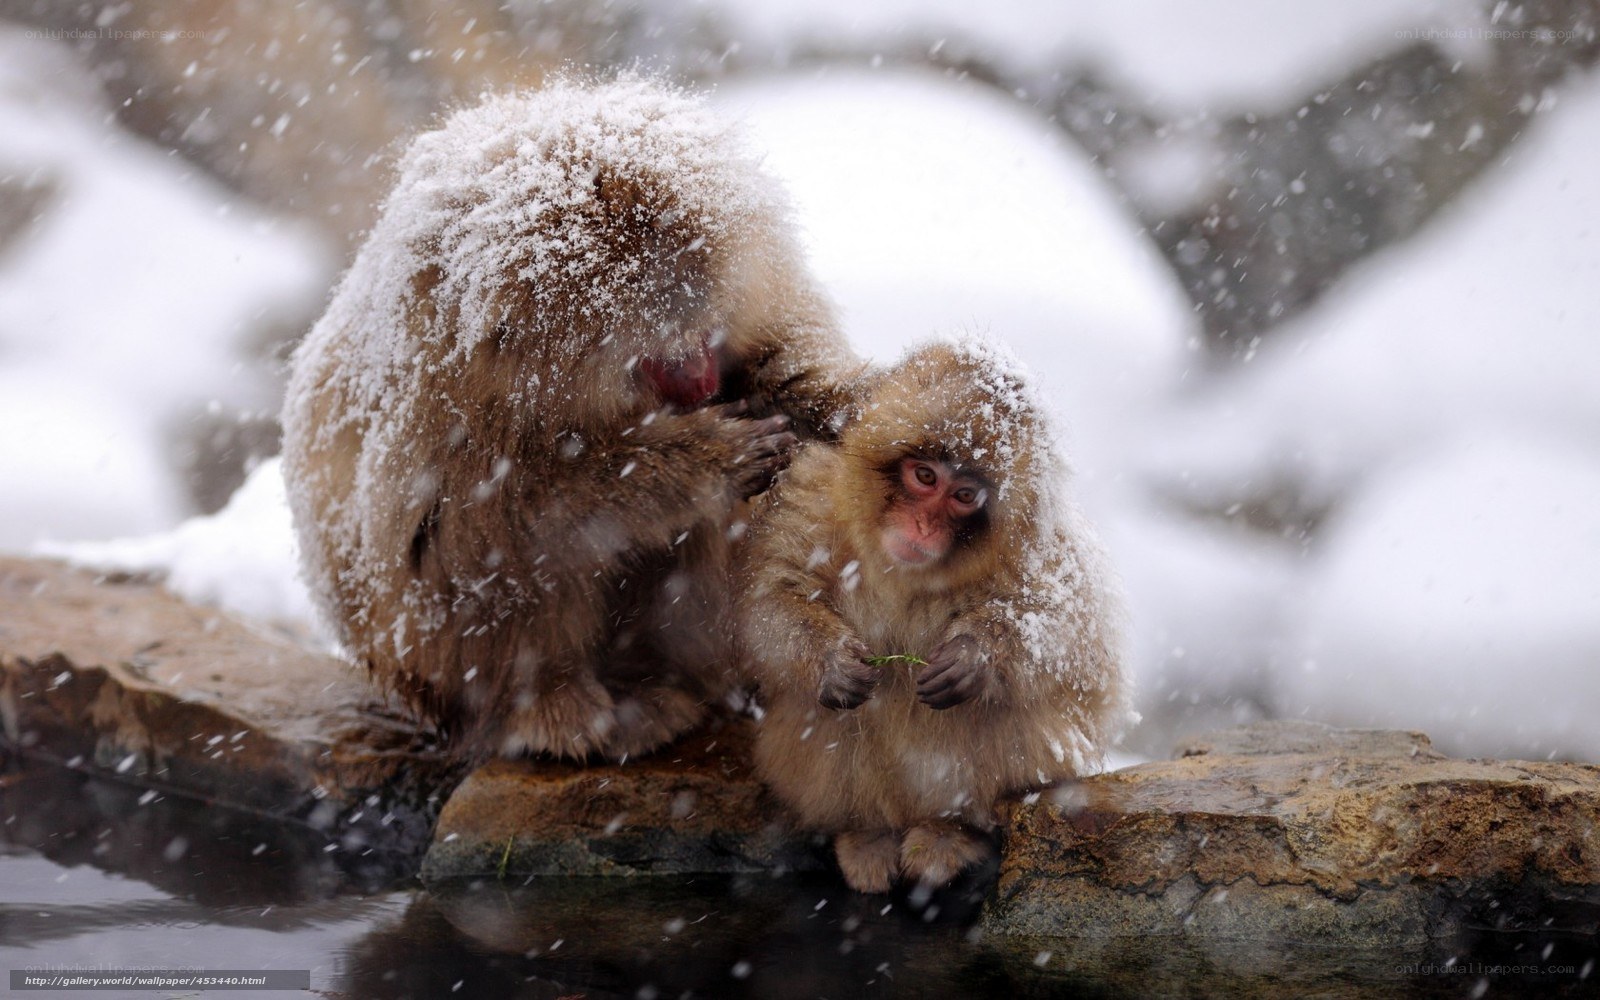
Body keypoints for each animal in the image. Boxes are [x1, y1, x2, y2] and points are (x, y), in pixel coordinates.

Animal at [280, 78, 863, 761]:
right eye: (658, 359)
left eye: (705, 336)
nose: (702, 383)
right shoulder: (442, 393)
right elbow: (469, 527)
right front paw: (702, 460)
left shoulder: (757, 287)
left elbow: (782, 360)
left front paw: (843, 400)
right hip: (432, 668)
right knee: (519, 561)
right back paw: (567, 709)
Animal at [735, 338, 1129, 893]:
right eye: (924, 476)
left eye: (963, 496)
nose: (922, 525)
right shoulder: (811, 495)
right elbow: (770, 599)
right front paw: (831, 662)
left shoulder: (1040, 544)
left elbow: (1069, 633)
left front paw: (974, 656)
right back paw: (866, 834)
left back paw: (952, 834)